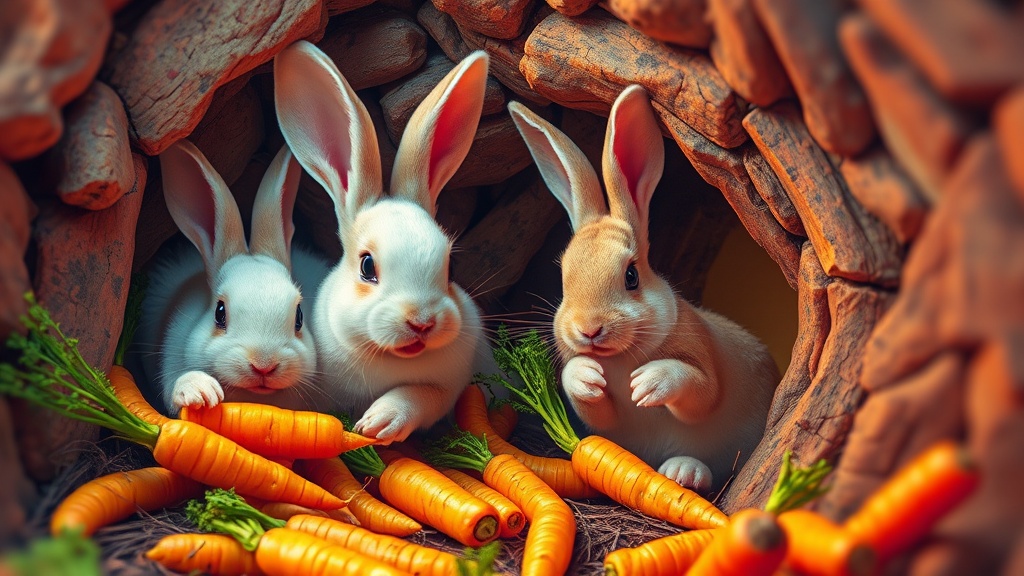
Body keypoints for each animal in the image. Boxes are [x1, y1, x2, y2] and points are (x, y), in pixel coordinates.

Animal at [274, 40, 489, 440]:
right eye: (367, 266)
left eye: (451, 267)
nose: (422, 322)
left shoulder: (446, 388)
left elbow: (421, 396)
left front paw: (379, 422)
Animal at [507, 87, 778, 491]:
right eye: (564, 277)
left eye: (631, 276)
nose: (589, 330)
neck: (619, 358)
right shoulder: (602, 418)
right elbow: (589, 402)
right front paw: (587, 375)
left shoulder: (703, 359)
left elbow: (699, 388)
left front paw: (646, 384)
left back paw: (684, 471)